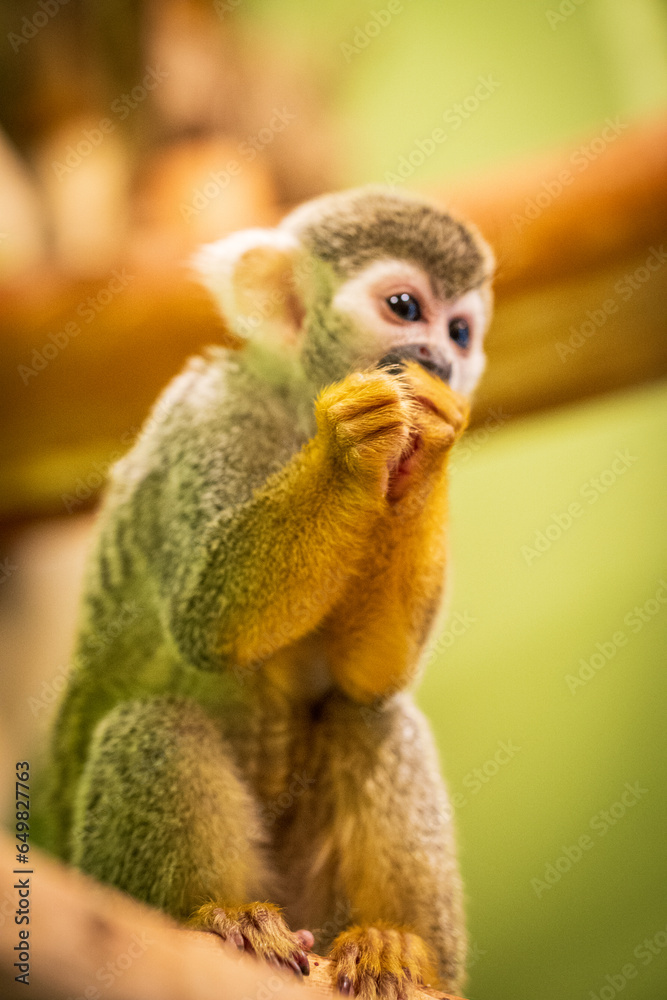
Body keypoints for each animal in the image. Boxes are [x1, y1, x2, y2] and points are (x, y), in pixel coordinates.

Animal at [36, 186, 494, 998]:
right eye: (406, 307)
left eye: (461, 331)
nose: (440, 357)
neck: (293, 411)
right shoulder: (212, 412)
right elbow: (209, 618)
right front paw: (350, 444)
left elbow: (369, 675)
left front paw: (432, 432)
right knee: (155, 723)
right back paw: (223, 920)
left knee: (371, 716)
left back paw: (398, 950)